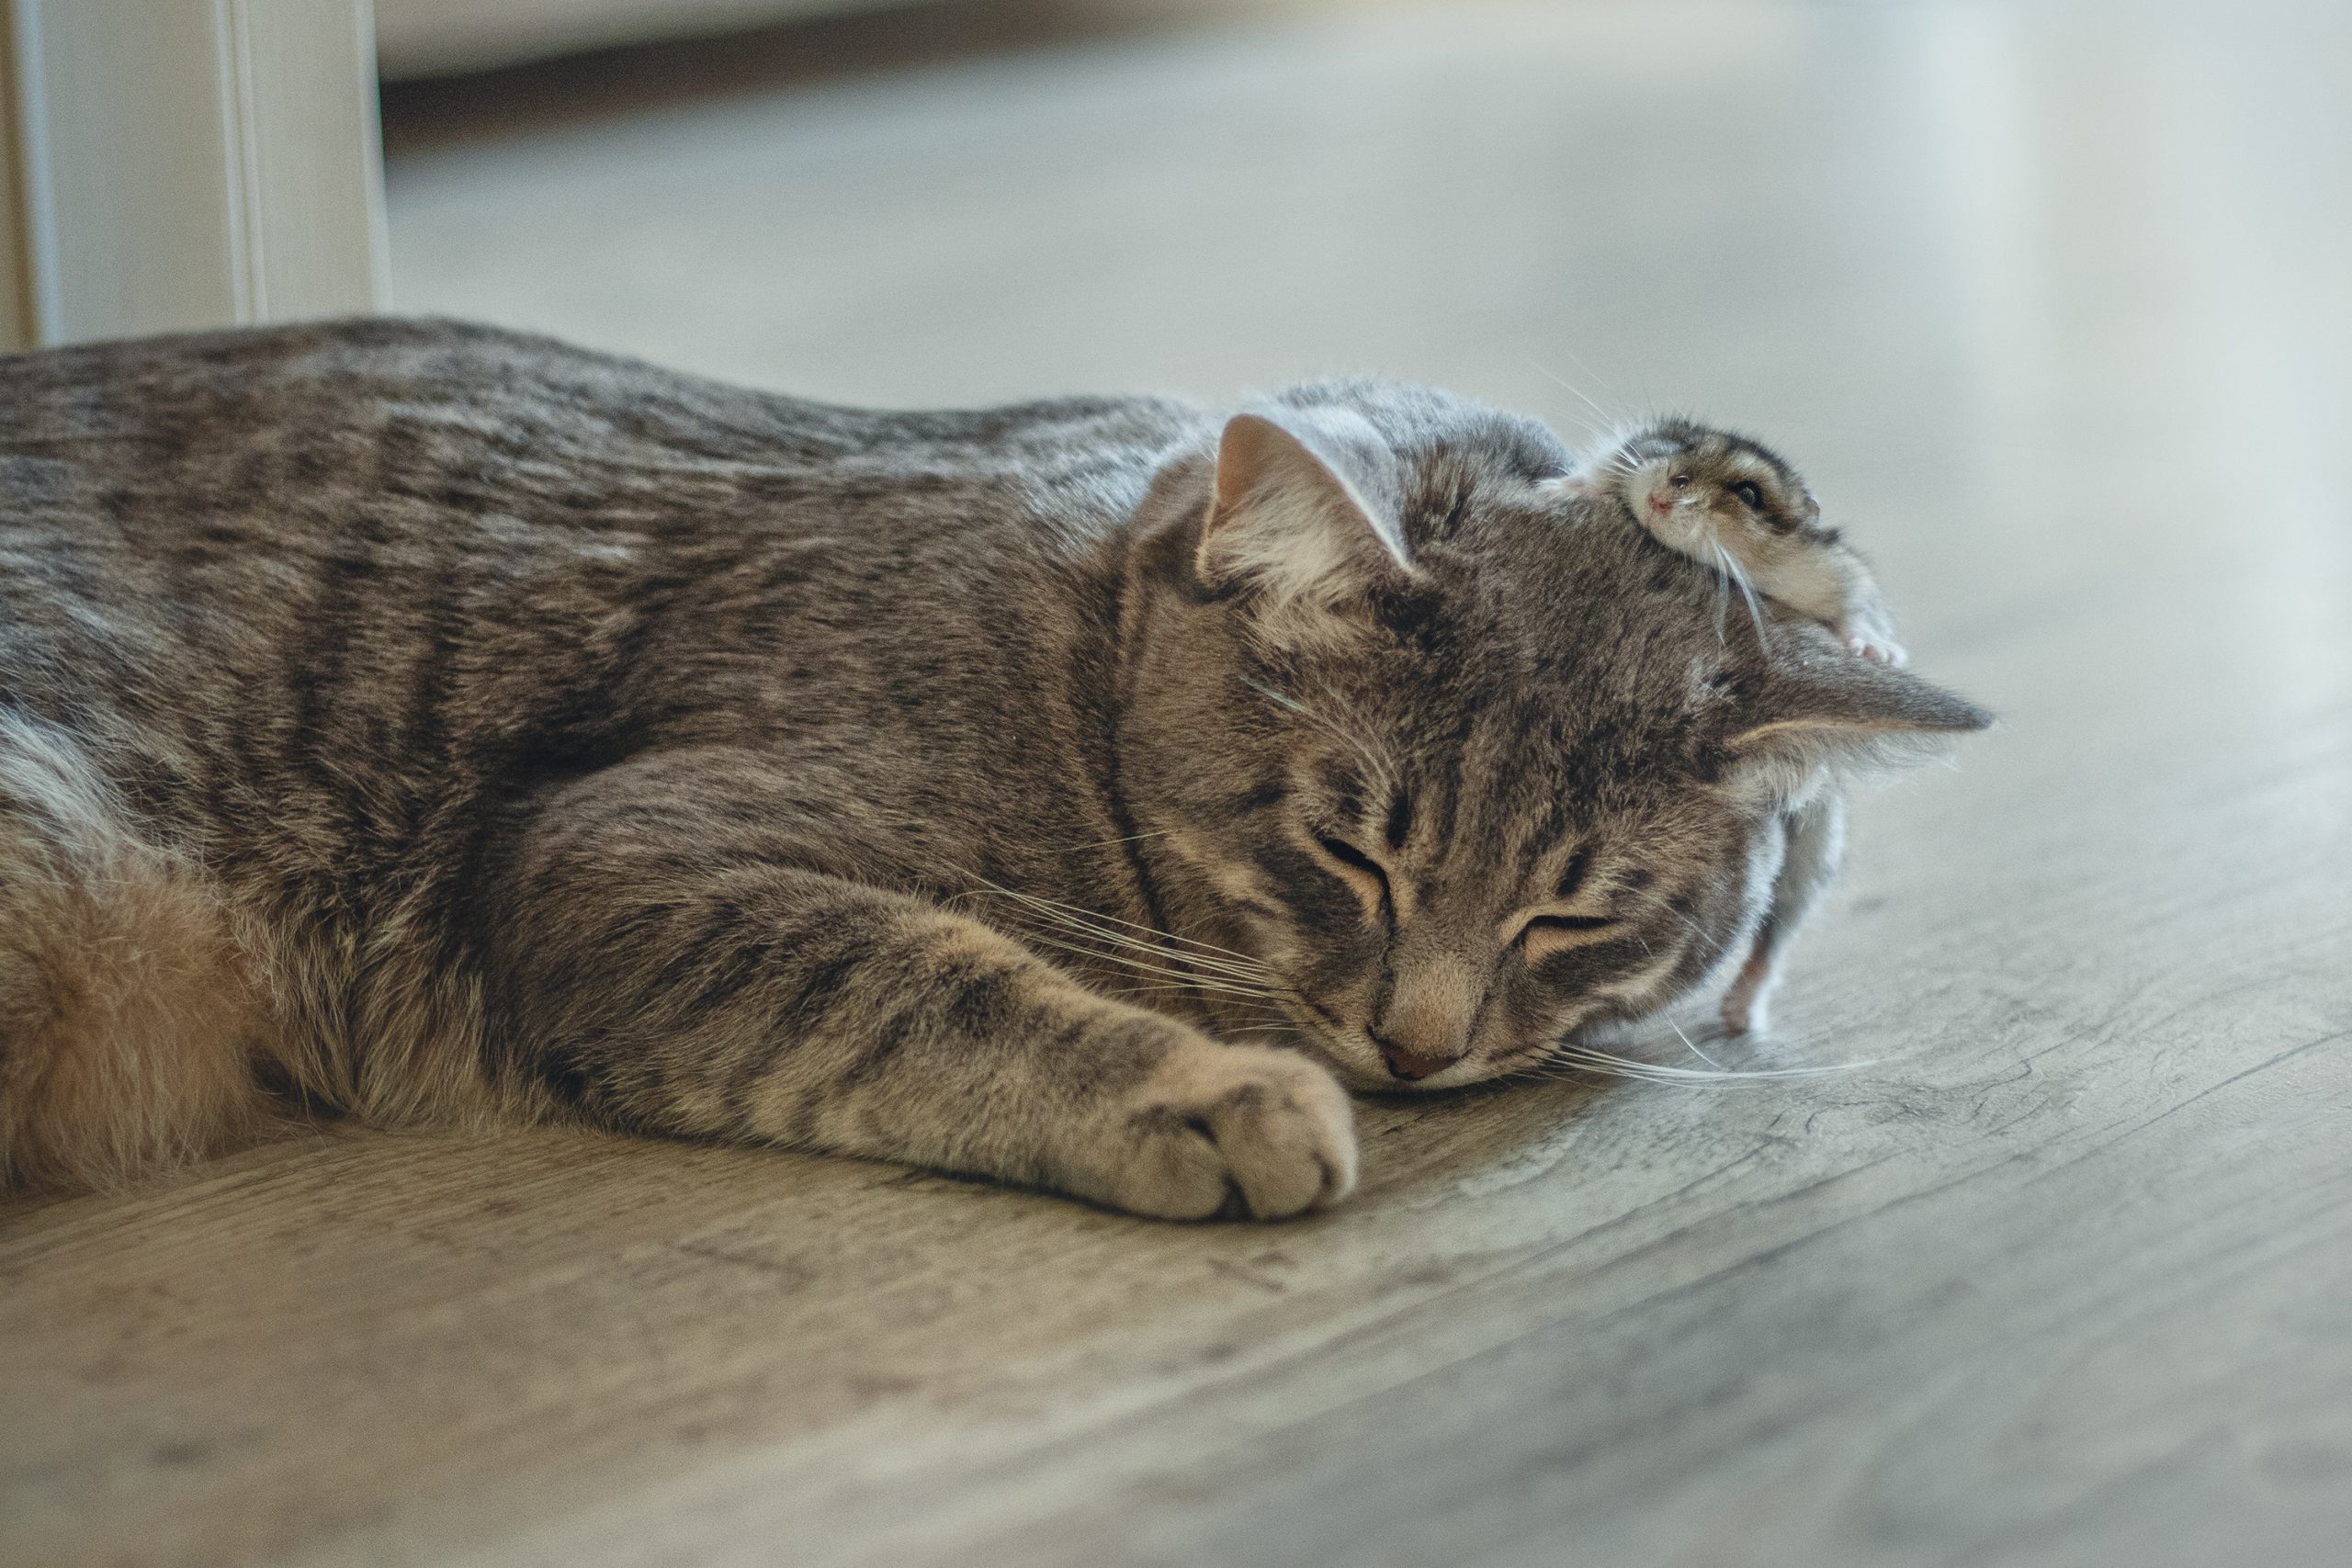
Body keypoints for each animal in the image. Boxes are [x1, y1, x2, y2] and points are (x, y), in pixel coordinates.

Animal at [0, 320, 1984, 1222]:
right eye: (1351, 852)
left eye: (1576, 915)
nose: (1421, 1047)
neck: (1078, 645)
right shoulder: (620, 854)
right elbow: (928, 981)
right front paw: (1199, 1086)